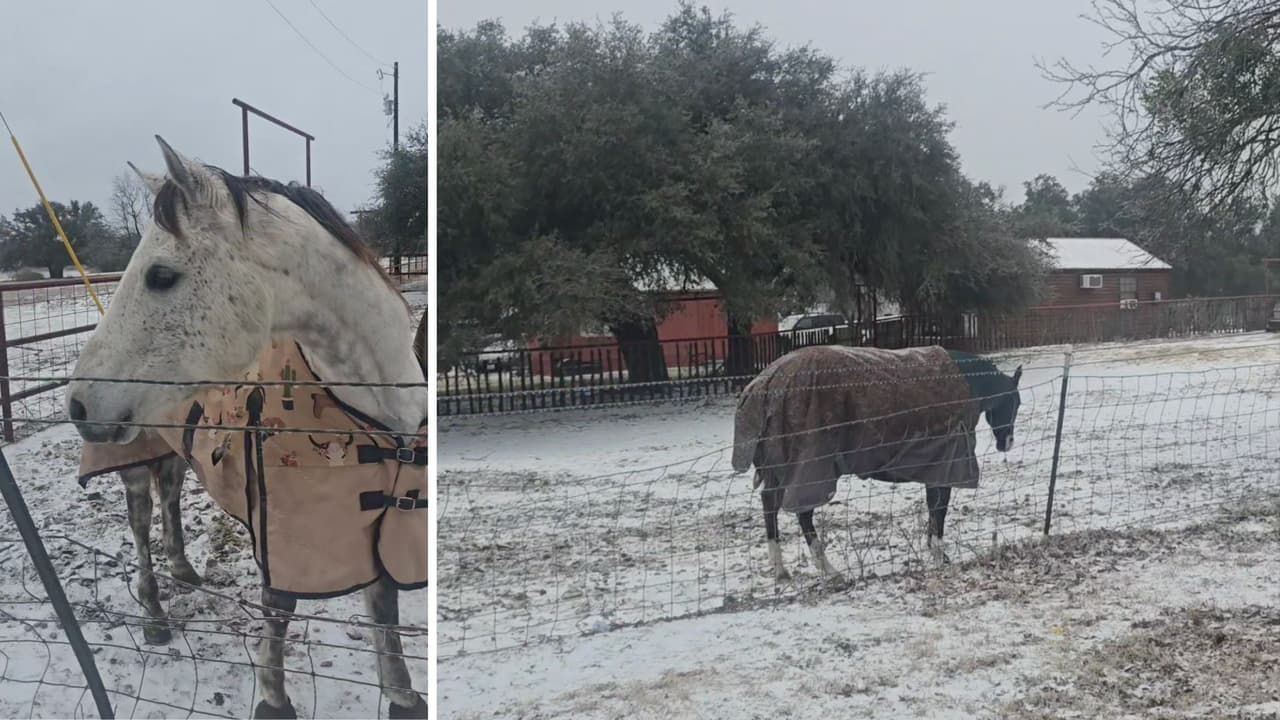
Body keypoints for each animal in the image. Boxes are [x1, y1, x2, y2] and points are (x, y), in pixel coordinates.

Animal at [66, 137, 428, 719]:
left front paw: (402, 695)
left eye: (161, 275)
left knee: (170, 494)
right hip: (135, 458)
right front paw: (273, 700)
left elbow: (384, 603)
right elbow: (278, 606)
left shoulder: (370, 520)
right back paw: (153, 614)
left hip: (171, 447)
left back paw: (184, 569)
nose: (78, 403)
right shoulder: (284, 526)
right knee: (141, 520)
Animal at [731, 344, 1022, 581]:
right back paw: (824, 569)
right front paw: (940, 555)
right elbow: (939, 510)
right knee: (802, 513)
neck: (966, 383)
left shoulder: (935, 467)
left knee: (771, 504)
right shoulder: (948, 464)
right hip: (810, 469)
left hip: (780, 471)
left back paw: (782, 568)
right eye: (1015, 402)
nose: (1007, 442)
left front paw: (935, 552)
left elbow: (933, 509)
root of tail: (764, 384)